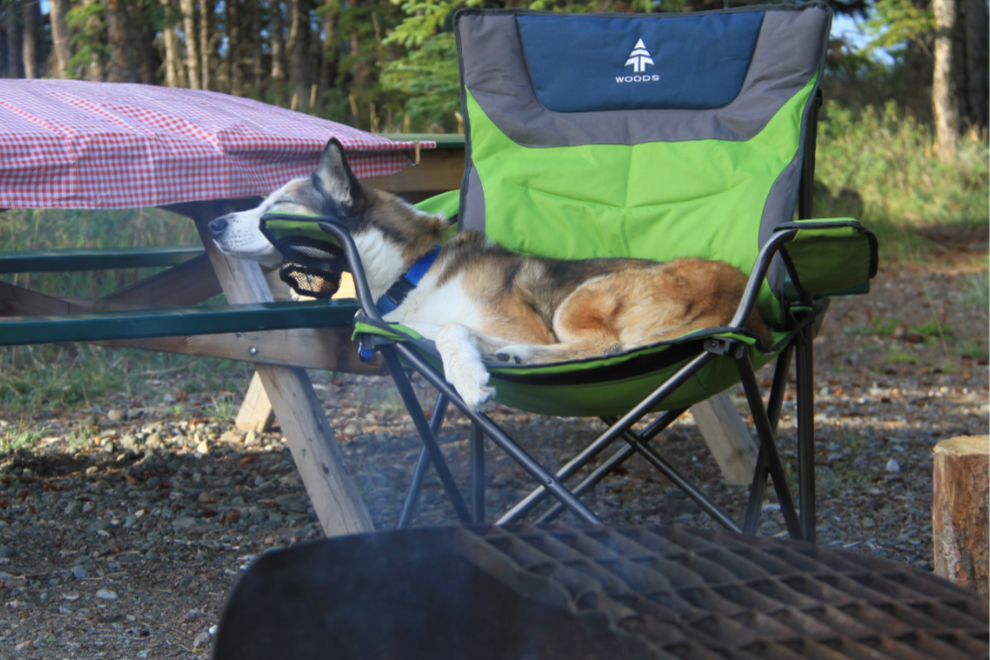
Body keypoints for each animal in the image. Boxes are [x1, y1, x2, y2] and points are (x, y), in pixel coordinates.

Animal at [209, 137, 772, 410]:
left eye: (278, 207)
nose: (213, 222)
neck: (413, 274)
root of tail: (743, 300)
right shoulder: (428, 324)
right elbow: (440, 331)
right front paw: (472, 362)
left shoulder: (518, 324)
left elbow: (452, 331)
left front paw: (470, 379)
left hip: (581, 299)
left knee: (603, 345)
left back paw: (523, 356)